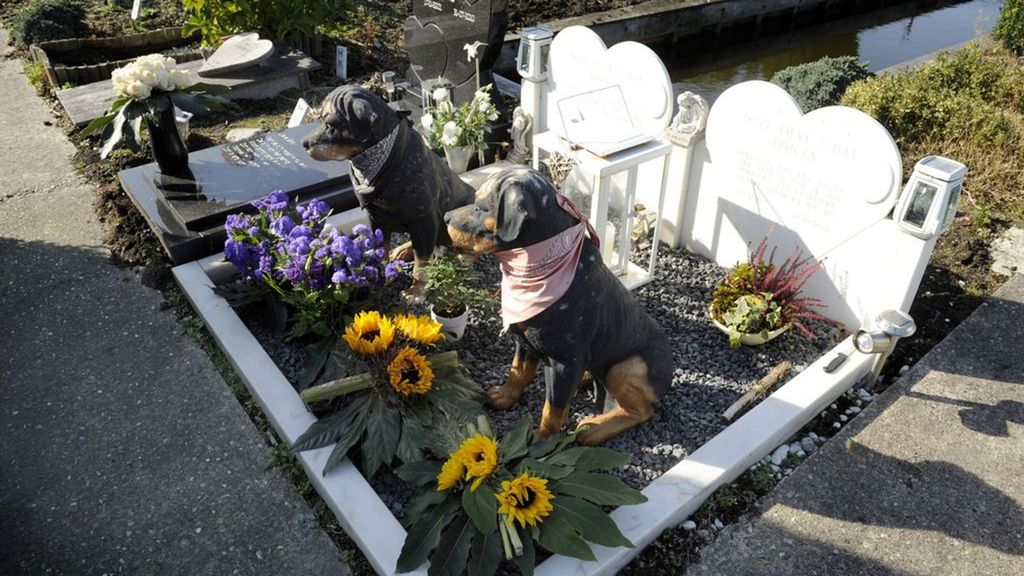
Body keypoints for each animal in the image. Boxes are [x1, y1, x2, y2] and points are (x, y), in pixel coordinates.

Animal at [301, 85, 477, 301]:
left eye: (330, 124)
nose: (304, 143)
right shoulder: (376, 217)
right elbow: (381, 246)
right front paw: (378, 272)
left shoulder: (424, 220)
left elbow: (421, 264)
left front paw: (415, 292)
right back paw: (402, 250)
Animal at [446, 166, 671, 444]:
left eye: (480, 206)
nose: (444, 216)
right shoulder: (525, 342)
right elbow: (518, 371)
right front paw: (506, 396)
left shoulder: (565, 362)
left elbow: (552, 408)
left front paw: (542, 439)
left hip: (627, 368)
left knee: (640, 411)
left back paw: (593, 428)